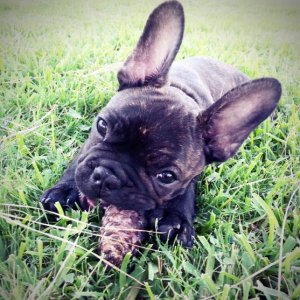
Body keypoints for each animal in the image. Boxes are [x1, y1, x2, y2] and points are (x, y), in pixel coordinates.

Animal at [41, 1, 282, 247]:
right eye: (102, 126)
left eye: (166, 177)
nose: (106, 176)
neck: (182, 90)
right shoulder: (88, 147)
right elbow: (79, 160)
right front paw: (65, 190)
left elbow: (185, 190)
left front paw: (175, 218)